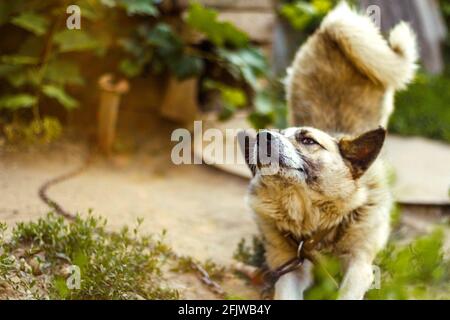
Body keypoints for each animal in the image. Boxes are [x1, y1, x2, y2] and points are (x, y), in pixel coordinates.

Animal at [243, 1, 418, 300]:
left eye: (308, 140)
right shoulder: (290, 267)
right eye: (277, 133)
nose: (262, 135)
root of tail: (331, 31)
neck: (316, 223)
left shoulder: (360, 265)